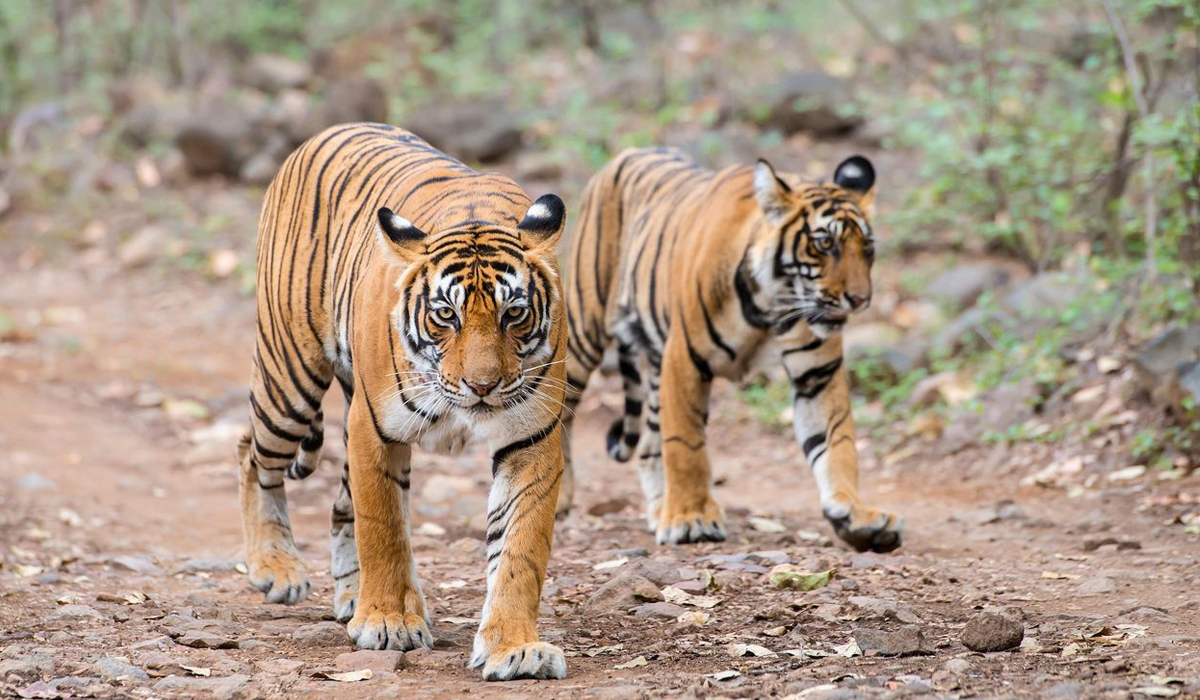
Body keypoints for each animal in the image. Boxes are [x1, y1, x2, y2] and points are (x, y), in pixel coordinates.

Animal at [237, 123, 571, 681]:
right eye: (445, 315)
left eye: (514, 314)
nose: (483, 386)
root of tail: (329, 131)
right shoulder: (375, 428)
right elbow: (383, 527)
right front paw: (389, 621)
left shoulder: (532, 439)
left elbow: (520, 550)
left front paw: (515, 647)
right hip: (290, 380)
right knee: (252, 453)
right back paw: (276, 568)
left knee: (338, 504)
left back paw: (352, 595)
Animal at [556, 146, 902, 552]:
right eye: (824, 244)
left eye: (868, 248)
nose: (860, 299)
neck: (773, 306)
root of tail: (627, 152)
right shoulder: (684, 358)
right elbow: (686, 445)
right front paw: (692, 519)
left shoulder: (817, 373)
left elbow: (837, 441)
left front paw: (856, 515)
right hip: (583, 332)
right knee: (561, 414)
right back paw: (564, 498)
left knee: (648, 444)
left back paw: (660, 510)